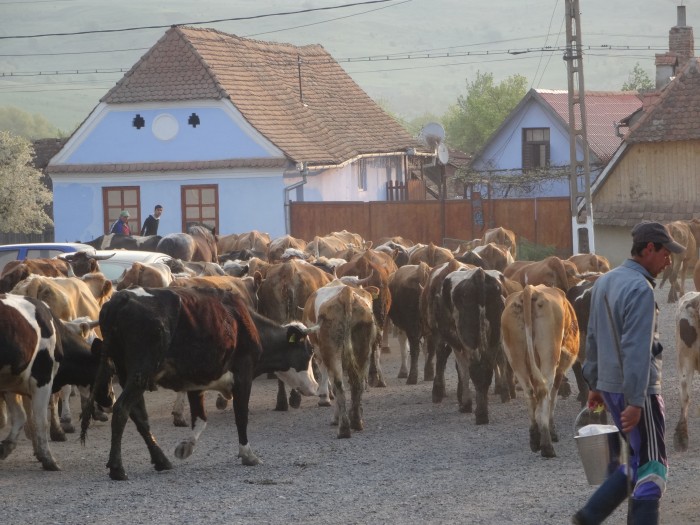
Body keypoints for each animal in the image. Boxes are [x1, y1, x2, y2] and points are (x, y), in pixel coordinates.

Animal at [79, 286, 318, 478]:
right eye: (309, 352)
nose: (315, 388)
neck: (246, 324)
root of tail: (122, 298)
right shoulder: (243, 374)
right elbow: (241, 416)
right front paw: (248, 454)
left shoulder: (196, 381)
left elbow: (200, 419)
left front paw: (186, 446)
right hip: (141, 371)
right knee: (121, 410)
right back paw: (117, 468)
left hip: (128, 372)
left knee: (138, 416)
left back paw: (161, 460)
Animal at [504, 284, 580, 456]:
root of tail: (530, 290)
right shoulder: (561, 369)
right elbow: (553, 399)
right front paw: (552, 431)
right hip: (549, 355)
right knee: (544, 392)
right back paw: (546, 445)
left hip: (516, 357)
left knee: (530, 393)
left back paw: (534, 439)